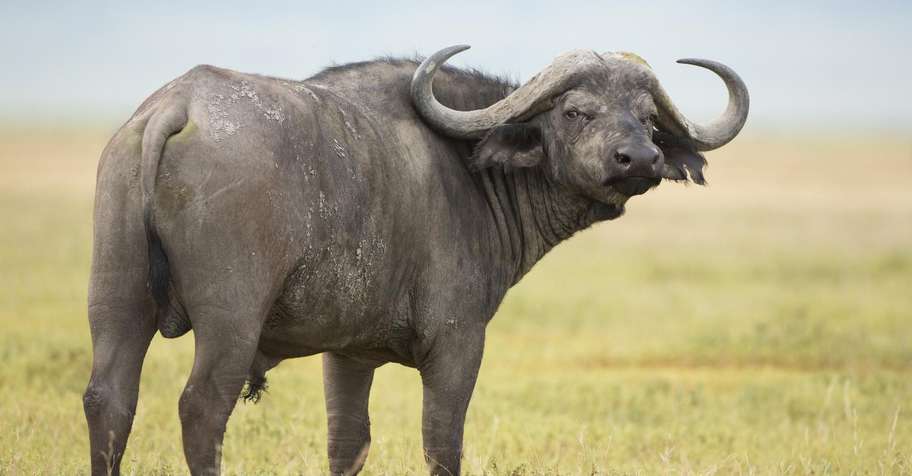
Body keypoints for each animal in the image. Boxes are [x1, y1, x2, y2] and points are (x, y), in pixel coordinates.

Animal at [83, 45, 748, 475]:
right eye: (575, 111)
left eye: (649, 119)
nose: (639, 159)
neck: (468, 165)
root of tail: (177, 106)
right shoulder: (458, 344)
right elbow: (442, 444)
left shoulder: (347, 354)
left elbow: (348, 444)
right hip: (231, 324)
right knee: (201, 408)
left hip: (116, 305)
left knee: (108, 400)